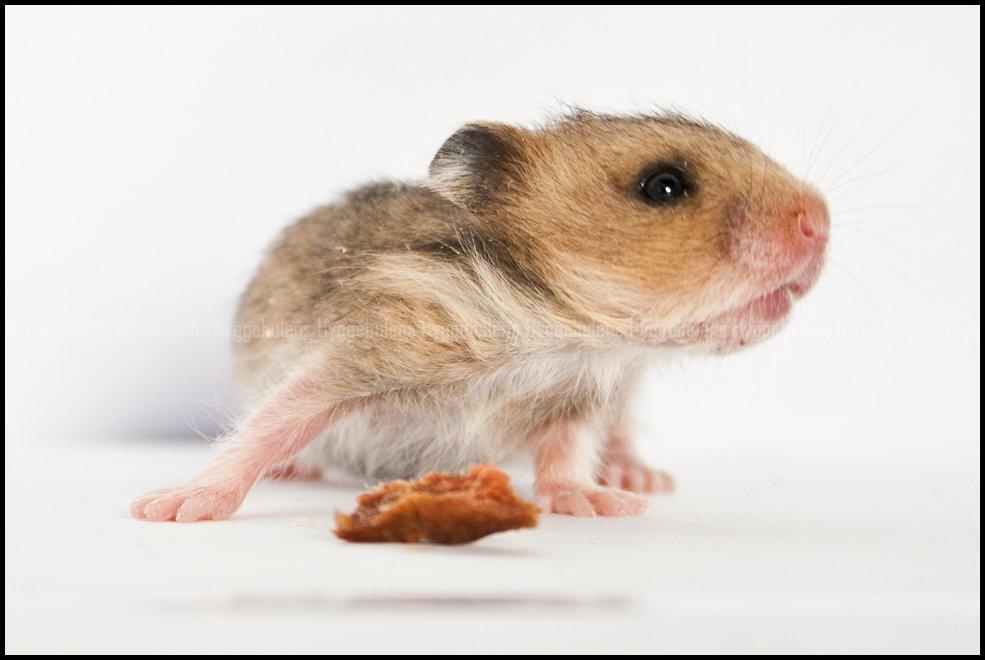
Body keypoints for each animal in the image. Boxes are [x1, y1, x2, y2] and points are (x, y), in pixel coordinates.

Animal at [131, 111, 829, 522]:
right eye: (663, 185)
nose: (821, 222)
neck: (549, 332)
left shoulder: (581, 394)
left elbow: (569, 452)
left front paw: (598, 502)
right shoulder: (366, 352)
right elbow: (273, 422)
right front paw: (172, 508)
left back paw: (639, 476)